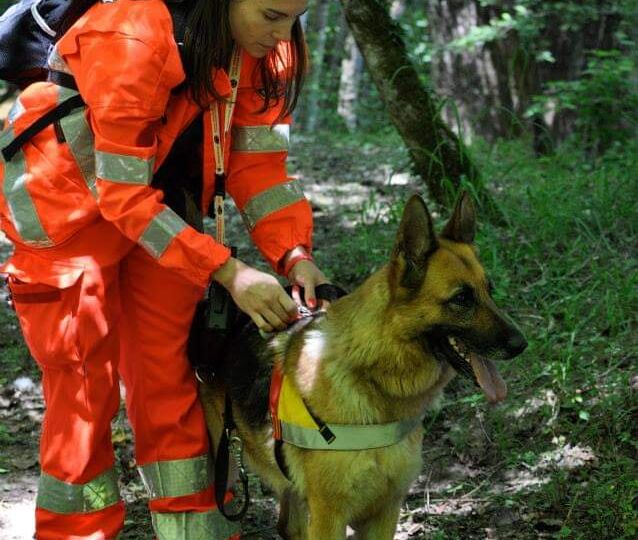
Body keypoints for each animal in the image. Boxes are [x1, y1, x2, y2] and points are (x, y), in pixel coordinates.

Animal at [201, 194, 528, 540]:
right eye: (462, 298)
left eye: (489, 291)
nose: (521, 344)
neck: (373, 377)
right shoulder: (329, 517)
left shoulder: (385, 511)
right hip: (225, 471)